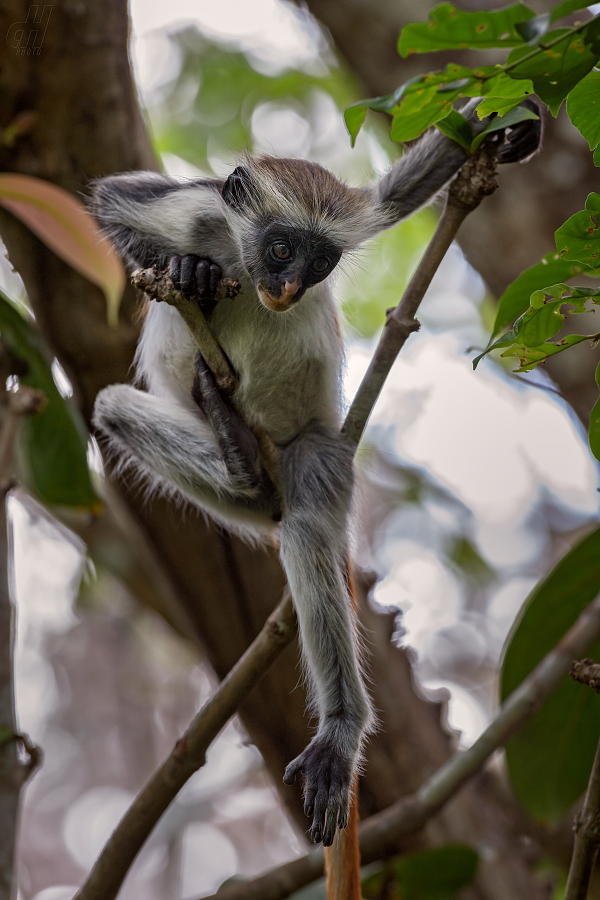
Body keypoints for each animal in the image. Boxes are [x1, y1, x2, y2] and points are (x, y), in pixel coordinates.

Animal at [90, 100, 544, 852]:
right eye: (281, 250)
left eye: (321, 259)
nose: (289, 286)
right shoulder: (201, 210)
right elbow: (110, 201)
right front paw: (185, 270)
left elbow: (391, 199)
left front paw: (502, 122)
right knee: (113, 409)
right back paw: (241, 461)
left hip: (318, 448)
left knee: (303, 528)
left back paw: (338, 729)